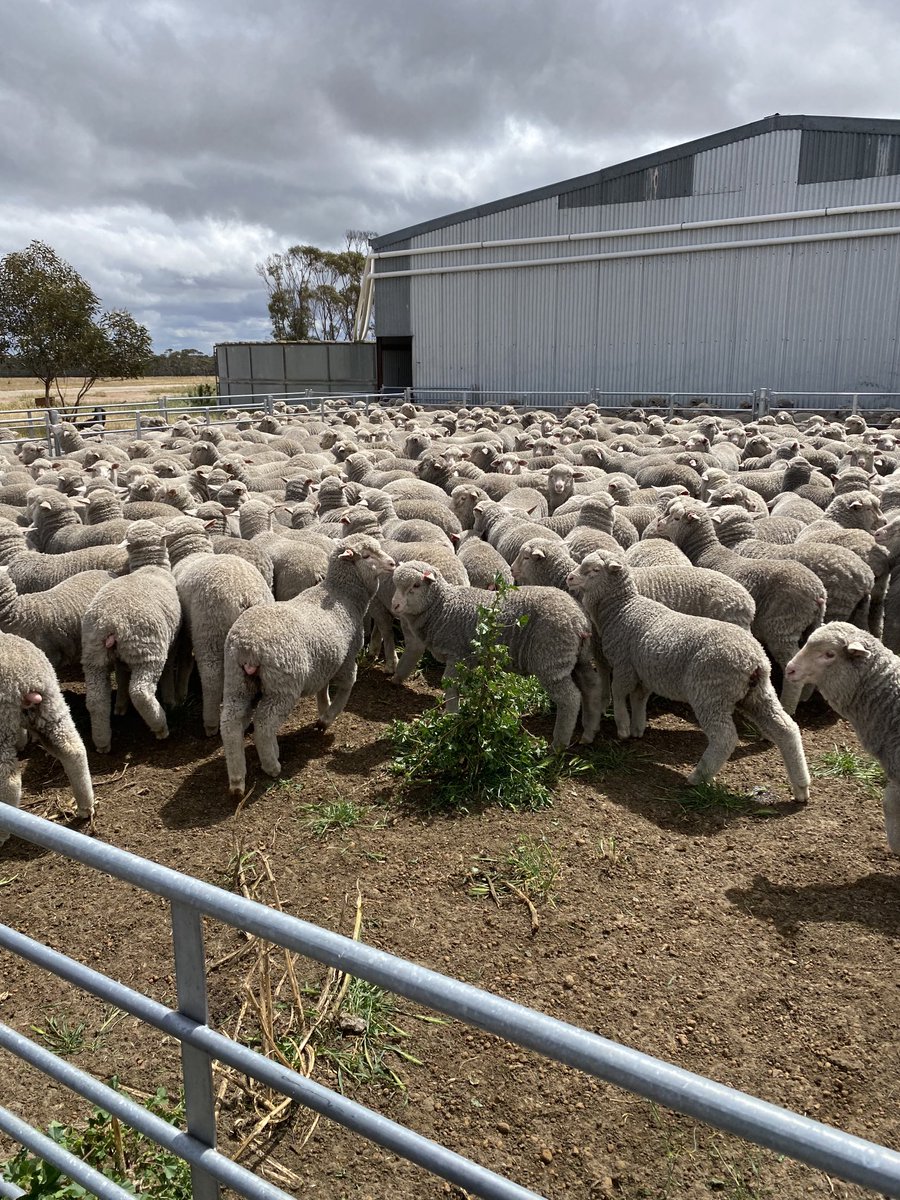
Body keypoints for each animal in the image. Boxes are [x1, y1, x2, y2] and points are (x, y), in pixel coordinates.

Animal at [0, 633, 94, 846]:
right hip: (52, 706)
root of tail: (25, 681)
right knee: (74, 750)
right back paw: (85, 806)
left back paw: (2, 832)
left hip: (2, 722)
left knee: (9, 781)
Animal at [81, 522, 182, 753]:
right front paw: (170, 698)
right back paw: (160, 726)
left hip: (94, 654)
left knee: (96, 699)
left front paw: (120, 705)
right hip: (147, 651)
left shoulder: (119, 658)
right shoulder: (171, 642)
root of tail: (111, 622)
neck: (151, 567)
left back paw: (102, 741)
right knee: (140, 691)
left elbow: (120, 675)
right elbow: (169, 667)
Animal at [220, 534, 397, 799]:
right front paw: (327, 718)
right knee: (263, 724)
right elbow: (348, 684)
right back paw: (272, 764)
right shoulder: (347, 657)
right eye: (366, 556)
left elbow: (322, 689)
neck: (343, 594)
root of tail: (248, 646)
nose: (393, 563)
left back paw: (237, 780)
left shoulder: (325, 660)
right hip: (282, 685)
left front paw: (323, 709)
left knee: (230, 722)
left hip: (236, 680)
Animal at [389, 562, 604, 748]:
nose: (395, 606)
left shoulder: (458, 654)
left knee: (570, 698)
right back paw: (589, 732)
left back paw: (559, 743)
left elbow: (450, 685)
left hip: (551, 658)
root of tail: (580, 621)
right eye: (395, 584)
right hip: (577, 658)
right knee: (592, 687)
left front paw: (452, 718)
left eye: (416, 585)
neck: (443, 606)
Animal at [566, 550, 809, 799]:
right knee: (786, 729)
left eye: (595, 570)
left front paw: (623, 727)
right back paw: (801, 787)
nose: (569, 578)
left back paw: (698, 777)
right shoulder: (646, 671)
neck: (622, 609)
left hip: (710, 693)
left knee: (725, 738)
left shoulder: (625, 666)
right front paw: (637, 728)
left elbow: (618, 693)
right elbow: (638, 699)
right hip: (758, 694)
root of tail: (754, 660)